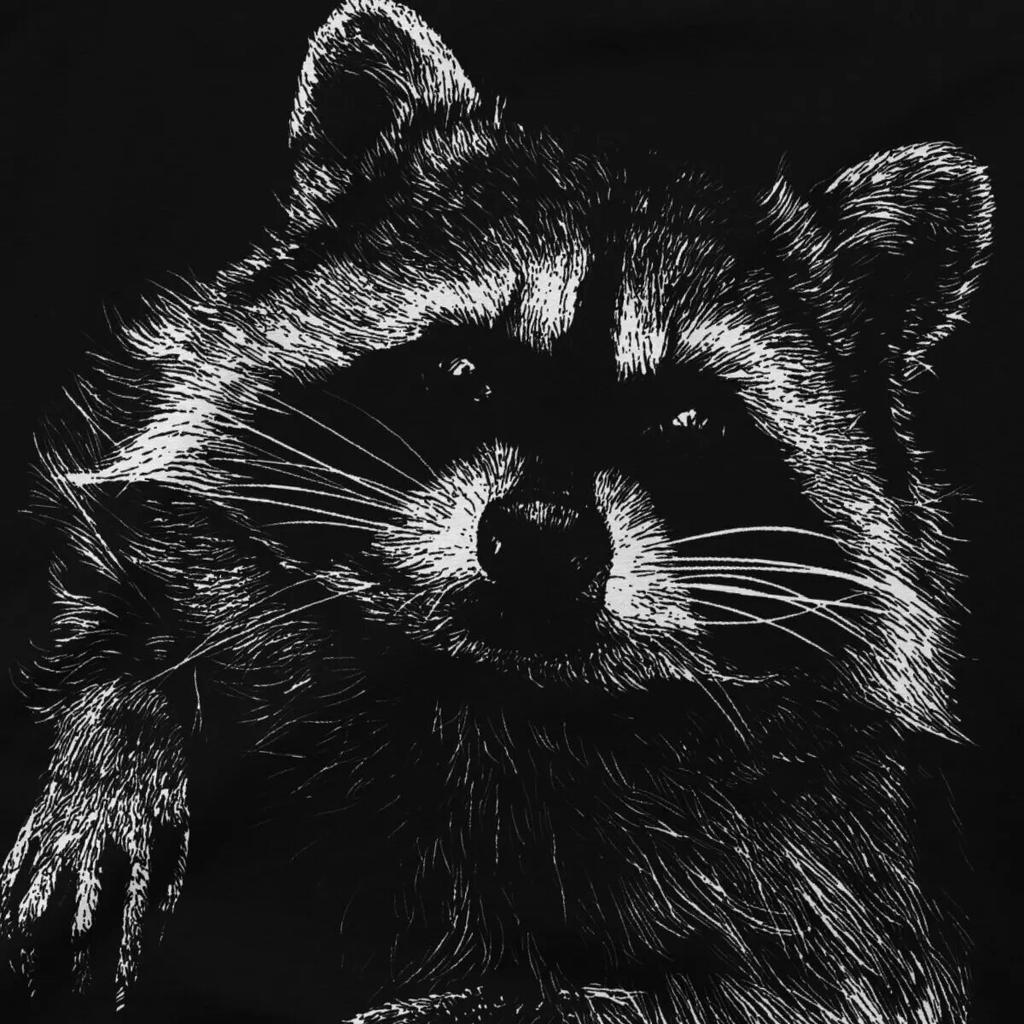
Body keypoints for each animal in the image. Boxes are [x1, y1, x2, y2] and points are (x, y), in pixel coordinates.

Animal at [0, 2, 993, 1022]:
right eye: (463, 371)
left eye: (687, 423)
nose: (547, 539)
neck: (489, 688)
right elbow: (134, 582)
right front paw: (119, 733)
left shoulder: (838, 881)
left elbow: (771, 992)